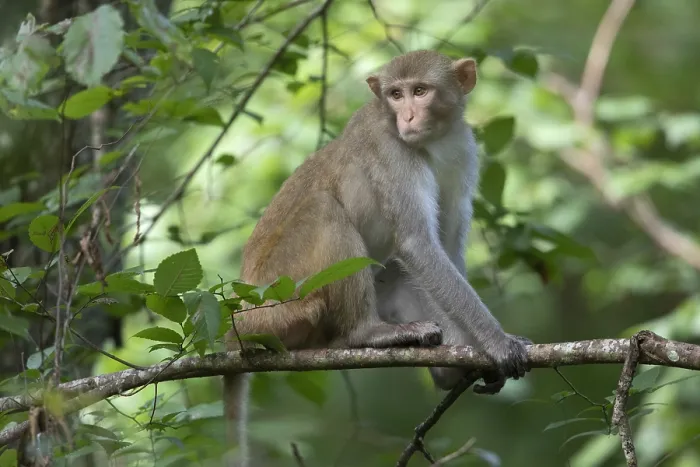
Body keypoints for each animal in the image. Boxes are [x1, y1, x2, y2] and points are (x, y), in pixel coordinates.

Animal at [222, 49, 532, 466]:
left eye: (420, 91)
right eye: (395, 95)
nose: (408, 117)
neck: (434, 141)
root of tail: (239, 317)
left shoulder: (464, 149)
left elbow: (445, 247)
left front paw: (474, 349)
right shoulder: (390, 149)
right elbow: (417, 244)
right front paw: (498, 343)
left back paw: (444, 374)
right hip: (282, 298)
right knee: (324, 209)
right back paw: (367, 333)